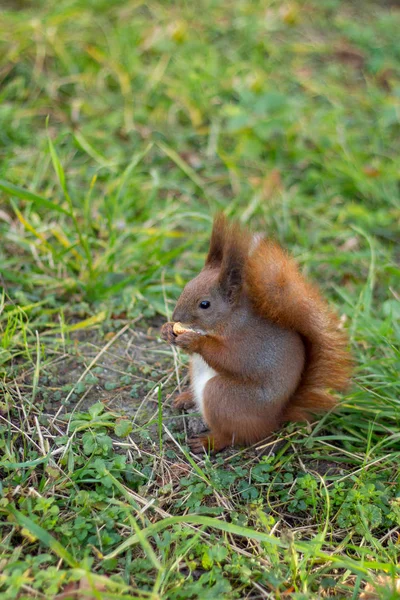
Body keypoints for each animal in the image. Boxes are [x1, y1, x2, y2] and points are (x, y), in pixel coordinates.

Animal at [161, 213, 352, 452]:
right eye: (186, 286)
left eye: (205, 304)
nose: (176, 316)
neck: (227, 320)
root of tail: (273, 419)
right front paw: (167, 331)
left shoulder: (248, 343)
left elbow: (230, 359)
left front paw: (195, 341)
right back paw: (186, 397)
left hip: (224, 397)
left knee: (232, 435)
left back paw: (208, 441)